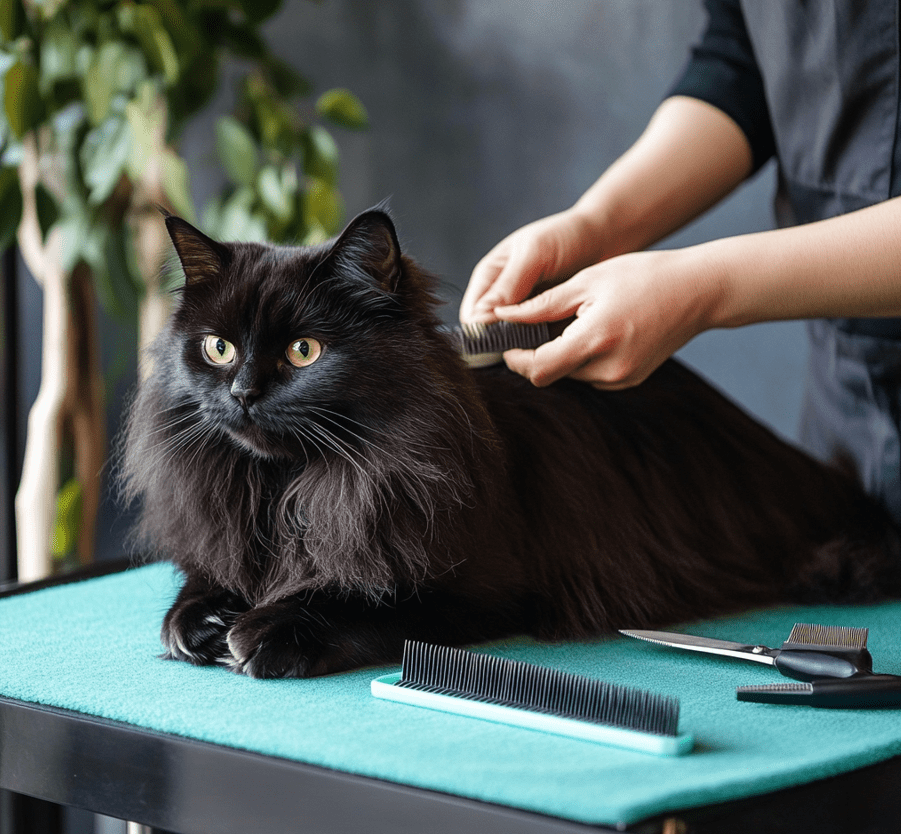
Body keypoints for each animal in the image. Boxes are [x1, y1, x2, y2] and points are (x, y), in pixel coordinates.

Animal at [121, 208, 900, 676]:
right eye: (218, 348)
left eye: (304, 352)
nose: (242, 392)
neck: (288, 489)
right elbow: (202, 583)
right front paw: (202, 618)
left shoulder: (483, 594)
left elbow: (363, 601)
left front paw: (263, 630)